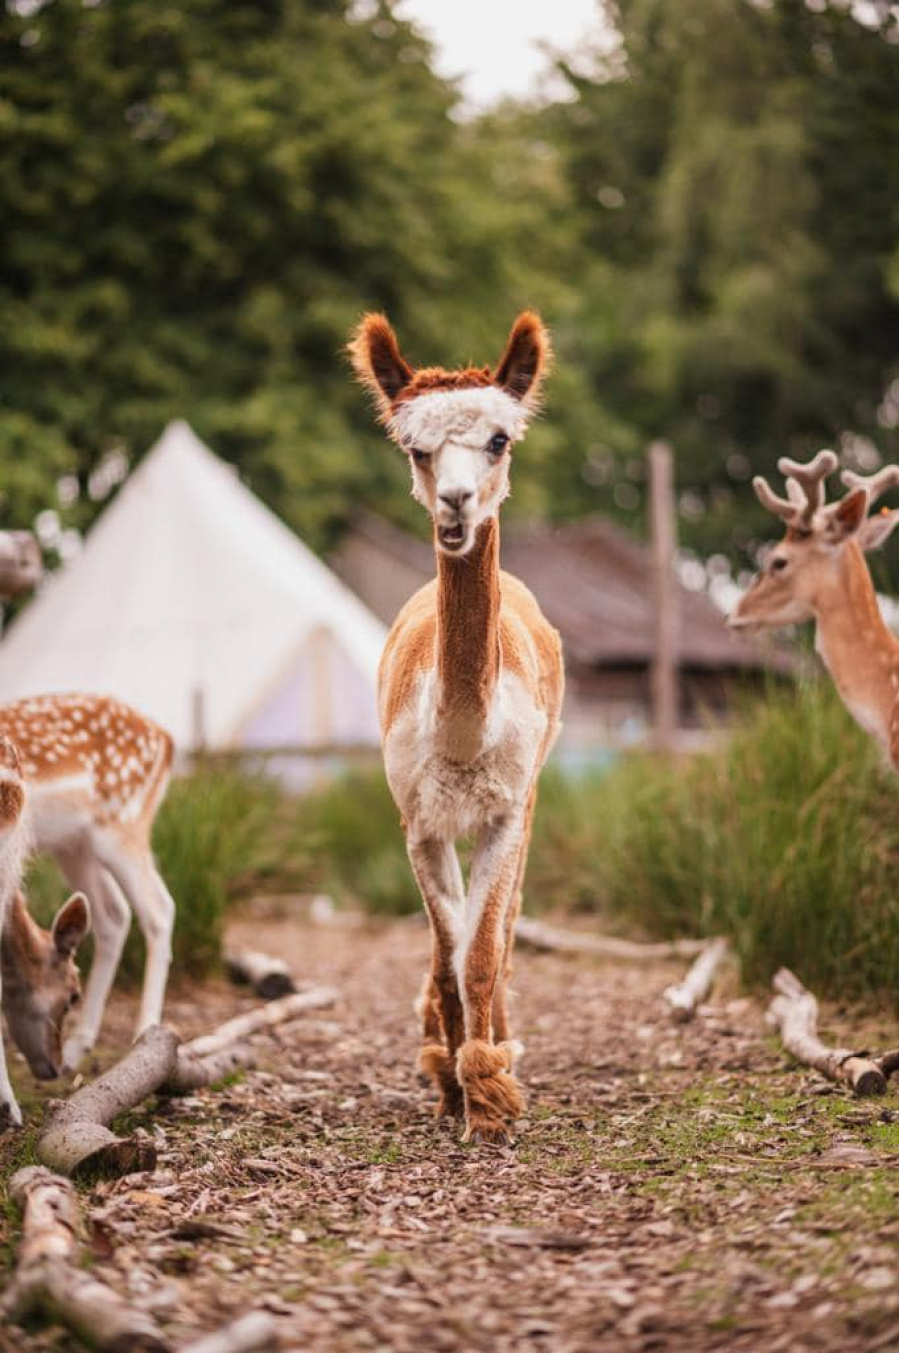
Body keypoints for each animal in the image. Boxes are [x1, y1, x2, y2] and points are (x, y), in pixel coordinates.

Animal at [0, 698, 176, 1066]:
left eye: (69, 996)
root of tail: (167, 740)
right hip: (74, 846)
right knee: (114, 913)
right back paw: (78, 1045)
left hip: (121, 827)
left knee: (158, 908)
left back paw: (144, 1036)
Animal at [349, 309, 565, 1141]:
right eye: (415, 446)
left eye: (499, 438)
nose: (456, 503)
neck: (464, 734)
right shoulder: (418, 817)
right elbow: (446, 956)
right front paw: (450, 1085)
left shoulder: (504, 811)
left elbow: (480, 953)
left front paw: (490, 1095)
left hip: (533, 795)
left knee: (504, 934)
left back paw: (499, 1042)